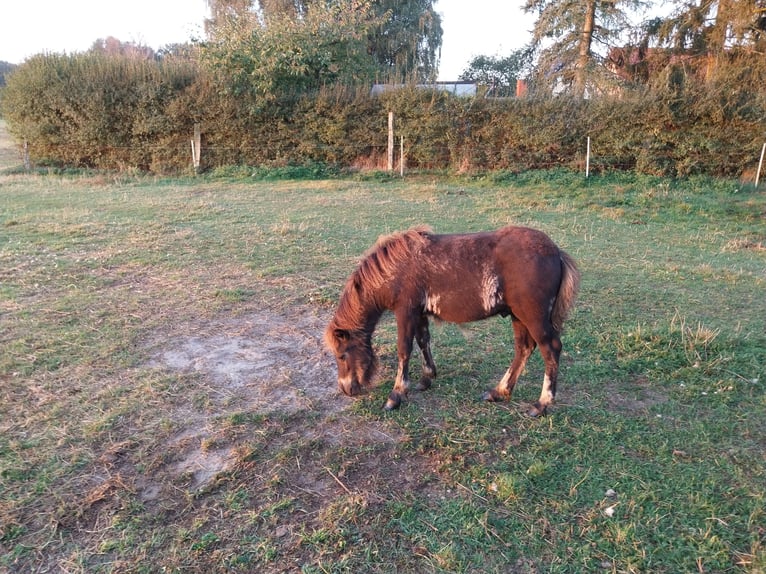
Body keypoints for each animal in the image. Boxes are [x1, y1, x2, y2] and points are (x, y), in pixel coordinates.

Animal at [324, 223, 584, 416]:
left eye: (342, 355)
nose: (346, 389)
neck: (396, 268)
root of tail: (556, 252)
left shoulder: (405, 312)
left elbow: (404, 350)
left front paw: (396, 395)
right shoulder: (419, 313)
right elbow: (423, 342)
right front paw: (427, 378)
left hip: (533, 318)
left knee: (550, 349)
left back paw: (542, 404)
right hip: (518, 317)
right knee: (524, 349)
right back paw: (499, 392)